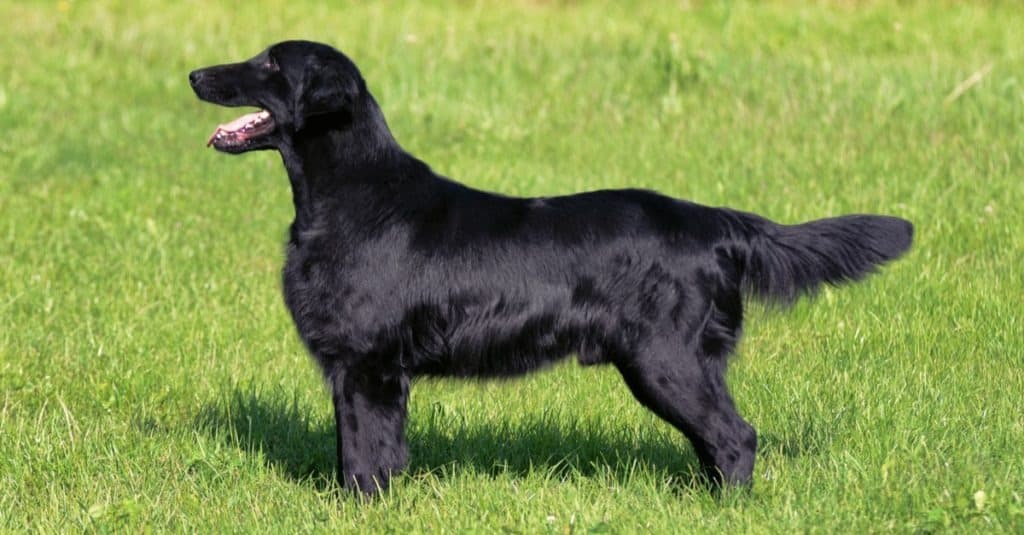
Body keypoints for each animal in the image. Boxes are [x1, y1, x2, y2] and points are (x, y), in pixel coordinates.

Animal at [190, 39, 913, 494]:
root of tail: (714, 221)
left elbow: (366, 460)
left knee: (736, 438)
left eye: (270, 62)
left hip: (666, 360)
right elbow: (364, 454)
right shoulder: (359, 369)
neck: (352, 195)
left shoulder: (370, 365)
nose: (194, 75)